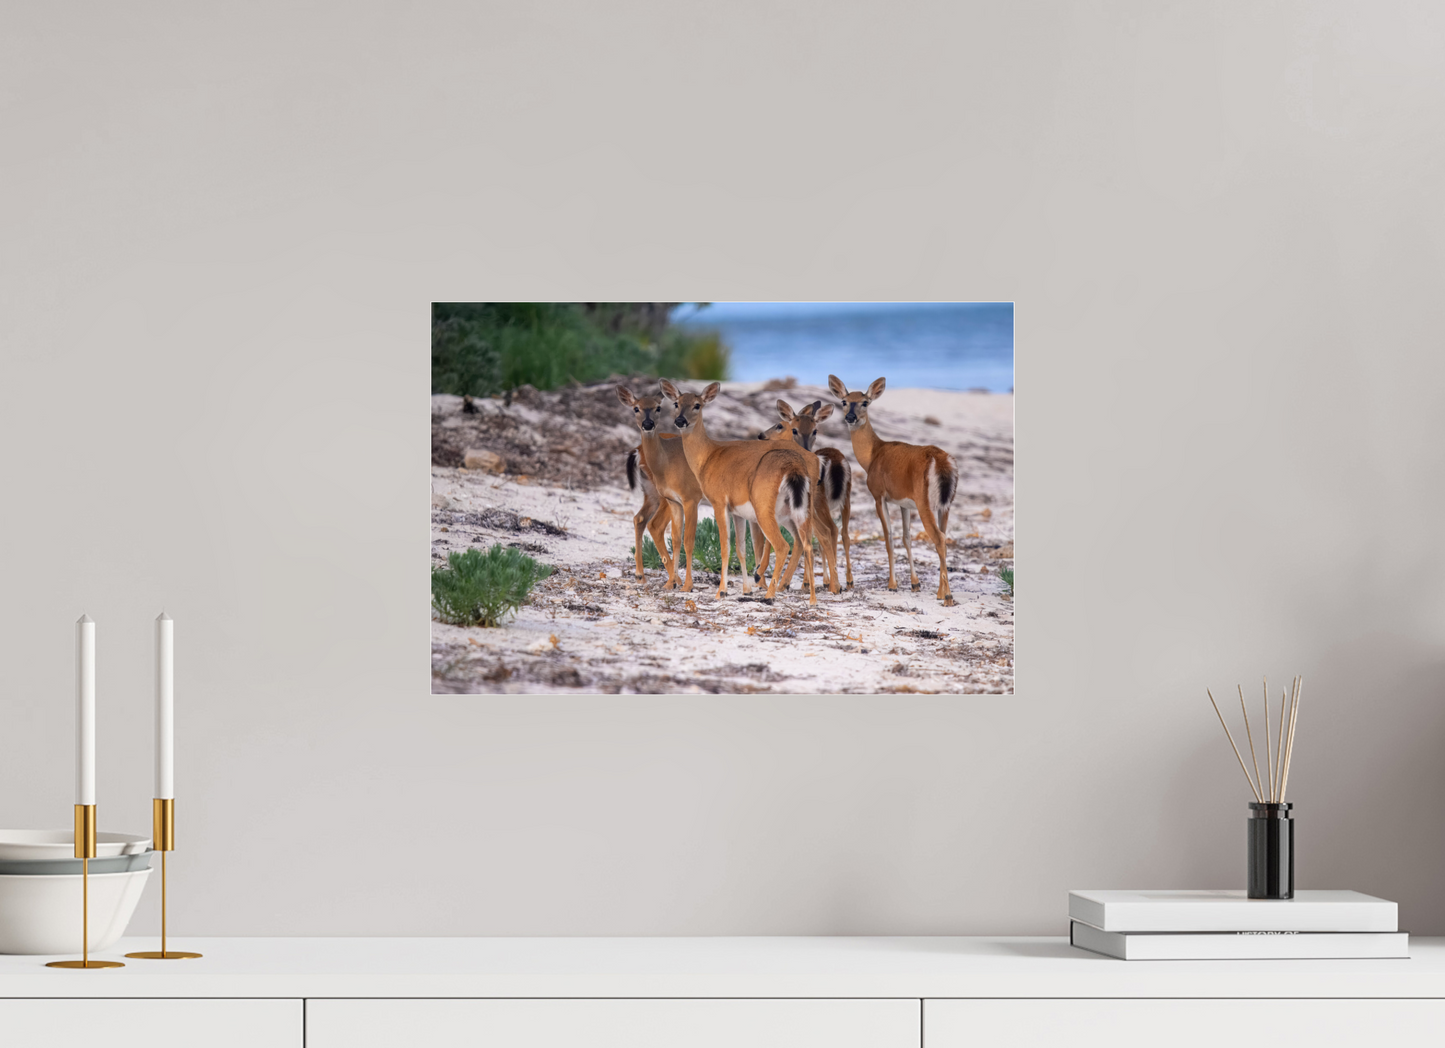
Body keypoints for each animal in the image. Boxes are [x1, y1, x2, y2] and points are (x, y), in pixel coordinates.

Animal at [617, 385, 704, 591]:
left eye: (658, 408)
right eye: (636, 408)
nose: (648, 424)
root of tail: (637, 451)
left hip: (651, 493)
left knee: (639, 518)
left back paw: (641, 575)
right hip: (663, 496)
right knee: (655, 525)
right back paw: (675, 580)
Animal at [659, 380, 819, 605]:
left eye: (697, 405)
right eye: (676, 403)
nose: (680, 420)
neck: (708, 457)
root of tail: (795, 467)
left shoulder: (719, 501)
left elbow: (725, 546)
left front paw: (722, 591)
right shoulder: (737, 511)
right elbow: (741, 548)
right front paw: (746, 590)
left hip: (764, 506)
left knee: (783, 545)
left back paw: (770, 594)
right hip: (797, 509)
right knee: (807, 544)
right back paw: (811, 597)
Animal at [751, 399, 852, 593]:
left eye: (779, 425)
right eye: (795, 429)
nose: (760, 435)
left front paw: (760, 573)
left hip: (816, 504)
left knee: (825, 532)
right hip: (842, 501)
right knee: (839, 532)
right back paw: (839, 582)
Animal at [828, 375, 959, 606]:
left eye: (865, 402)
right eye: (844, 401)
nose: (851, 417)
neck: (872, 456)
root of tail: (942, 461)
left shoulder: (878, 495)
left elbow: (888, 537)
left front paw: (892, 585)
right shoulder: (904, 502)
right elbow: (906, 538)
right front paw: (915, 584)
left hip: (925, 501)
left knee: (939, 538)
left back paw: (948, 596)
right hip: (945, 504)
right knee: (943, 535)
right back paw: (940, 592)